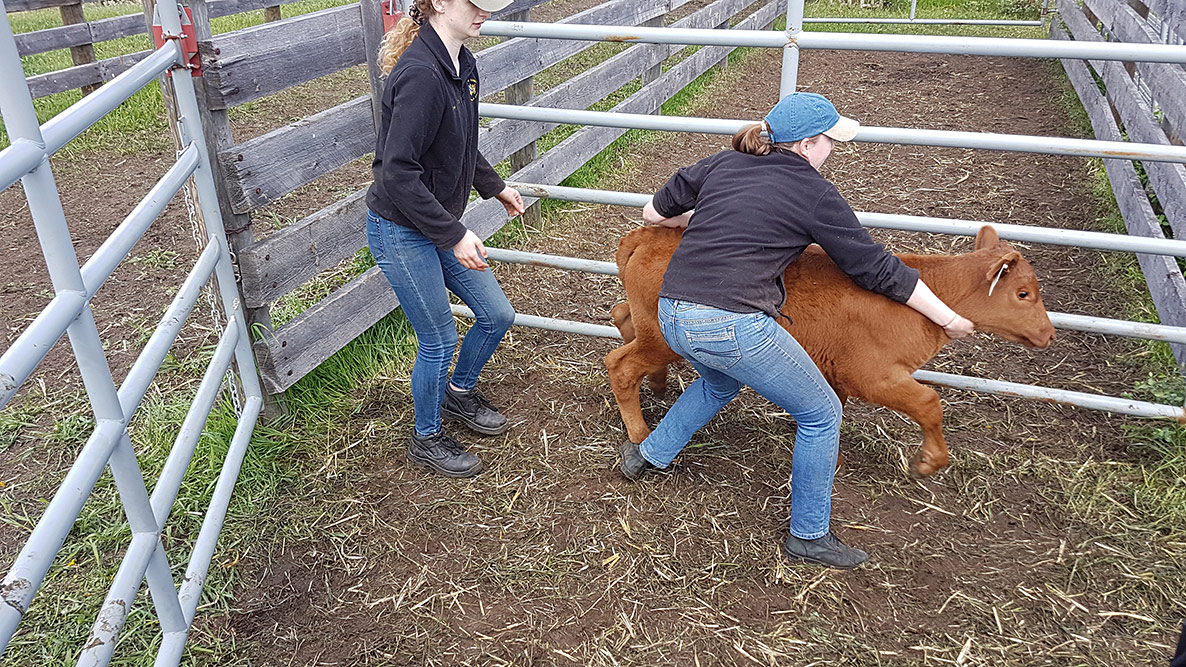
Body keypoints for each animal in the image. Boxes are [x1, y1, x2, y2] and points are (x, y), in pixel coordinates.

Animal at [604, 225, 1056, 478]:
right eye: (1023, 293)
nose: (1049, 334)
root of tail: (643, 236)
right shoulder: (871, 374)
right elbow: (929, 403)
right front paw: (929, 461)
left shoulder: (833, 369)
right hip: (661, 337)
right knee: (620, 364)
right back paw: (640, 434)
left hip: (648, 324)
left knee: (621, 315)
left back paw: (658, 385)